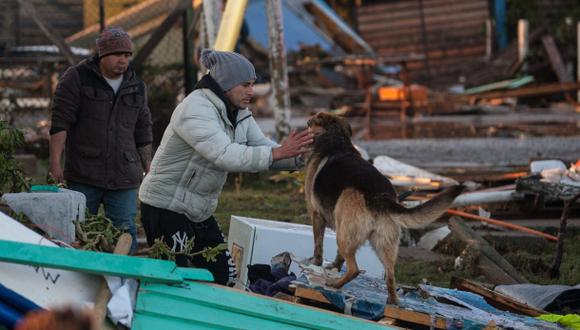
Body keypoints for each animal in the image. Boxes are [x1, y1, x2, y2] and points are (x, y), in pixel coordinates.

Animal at [306, 111, 464, 304]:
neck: (336, 139)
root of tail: (379, 197)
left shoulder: (316, 215)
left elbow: (318, 246)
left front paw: (316, 264)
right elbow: (337, 256)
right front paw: (334, 266)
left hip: (345, 237)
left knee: (354, 269)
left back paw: (335, 284)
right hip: (383, 245)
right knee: (390, 275)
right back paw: (392, 301)